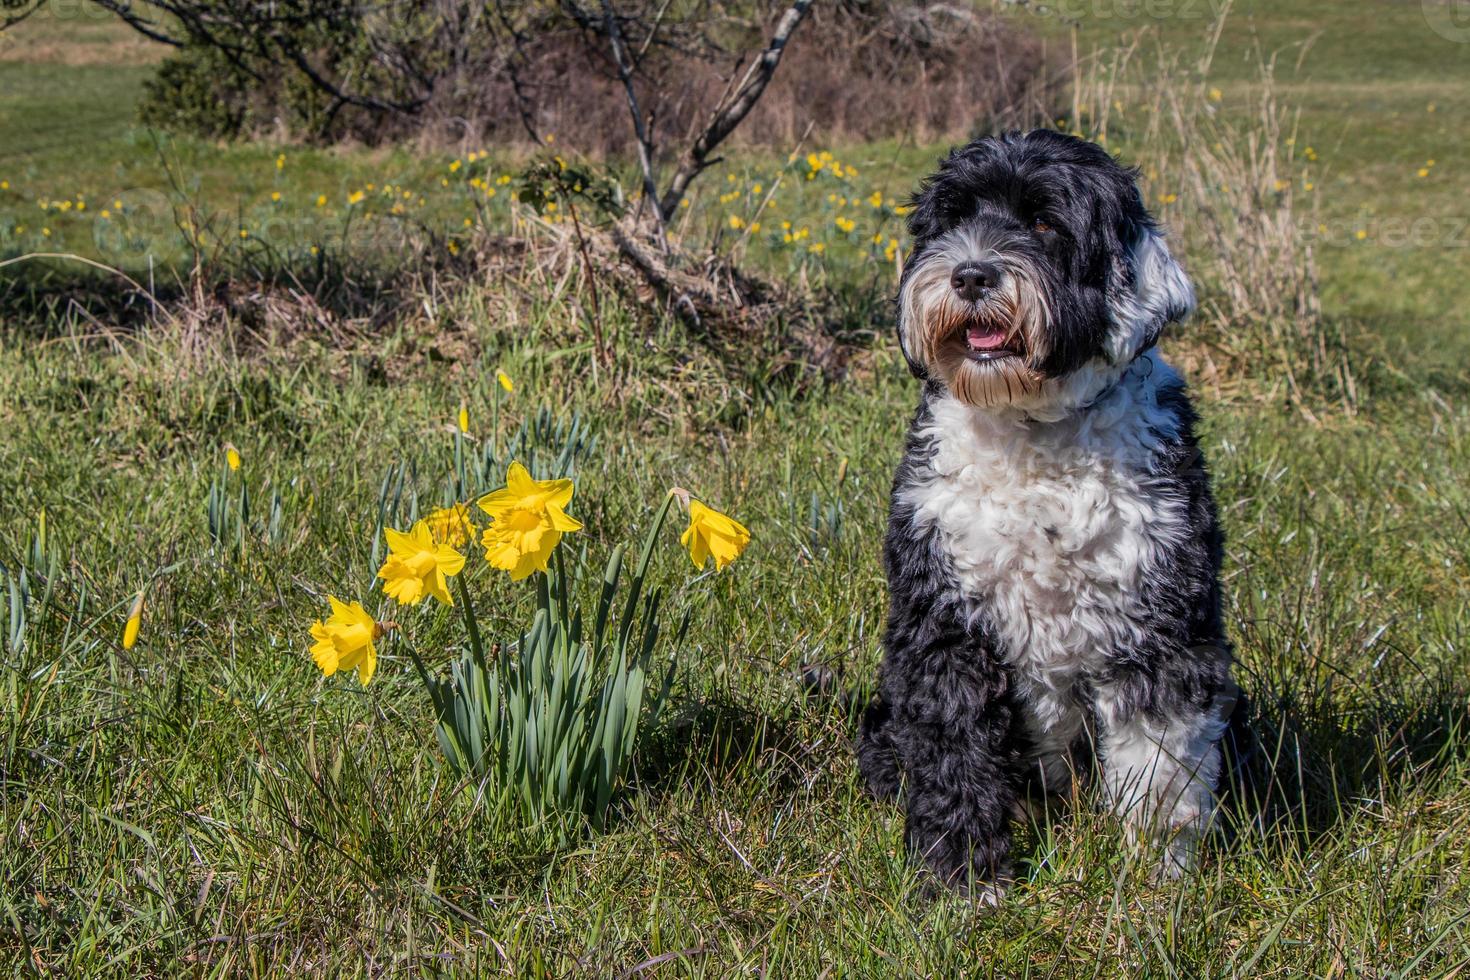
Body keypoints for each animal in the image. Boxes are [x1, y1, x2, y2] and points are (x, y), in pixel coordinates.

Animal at [858, 132, 1246, 905]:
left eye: (1044, 223)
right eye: (952, 218)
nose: (971, 274)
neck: (1031, 431)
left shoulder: (1162, 629)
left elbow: (1161, 766)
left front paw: (1155, 883)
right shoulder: (945, 624)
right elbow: (954, 753)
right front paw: (961, 880)